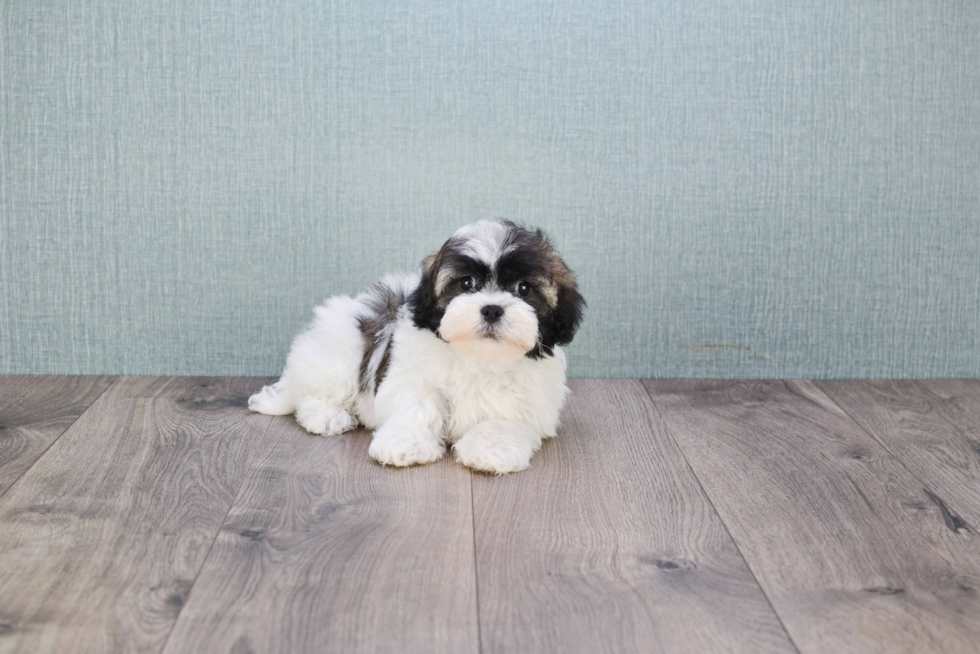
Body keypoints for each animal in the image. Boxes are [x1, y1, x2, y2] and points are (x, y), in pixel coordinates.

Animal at [251, 223, 580, 474]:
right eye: (467, 283)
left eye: (524, 288)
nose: (492, 309)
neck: (478, 357)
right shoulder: (412, 377)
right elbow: (418, 406)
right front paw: (405, 444)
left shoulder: (528, 400)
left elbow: (502, 421)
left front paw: (490, 450)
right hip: (339, 350)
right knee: (314, 392)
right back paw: (327, 416)